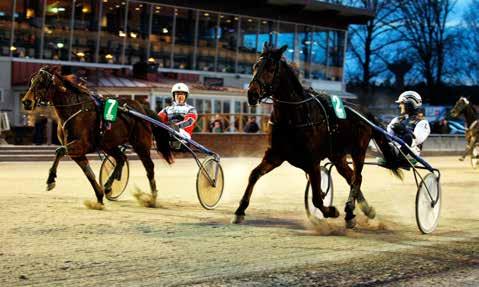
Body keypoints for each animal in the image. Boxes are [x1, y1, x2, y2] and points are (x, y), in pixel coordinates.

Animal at [22, 65, 174, 209]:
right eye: (32, 81)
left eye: (42, 82)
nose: (26, 102)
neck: (74, 110)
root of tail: (142, 109)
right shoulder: (77, 152)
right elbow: (89, 174)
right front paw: (99, 197)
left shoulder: (82, 144)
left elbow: (59, 151)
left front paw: (50, 180)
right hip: (109, 144)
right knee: (121, 159)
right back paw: (108, 186)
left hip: (141, 145)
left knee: (149, 167)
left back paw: (152, 198)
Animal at [232, 44, 404, 230]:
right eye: (255, 66)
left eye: (270, 69)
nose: (252, 94)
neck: (294, 116)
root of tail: (364, 113)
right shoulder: (274, 155)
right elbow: (254, 175)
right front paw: (240, 210)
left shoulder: (312, 161)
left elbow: (316, 197)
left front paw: (331, 210)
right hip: (338, 155)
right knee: (350, 177)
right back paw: (361, 212)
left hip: (358, 151)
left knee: (357, 178)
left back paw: (350, 208)